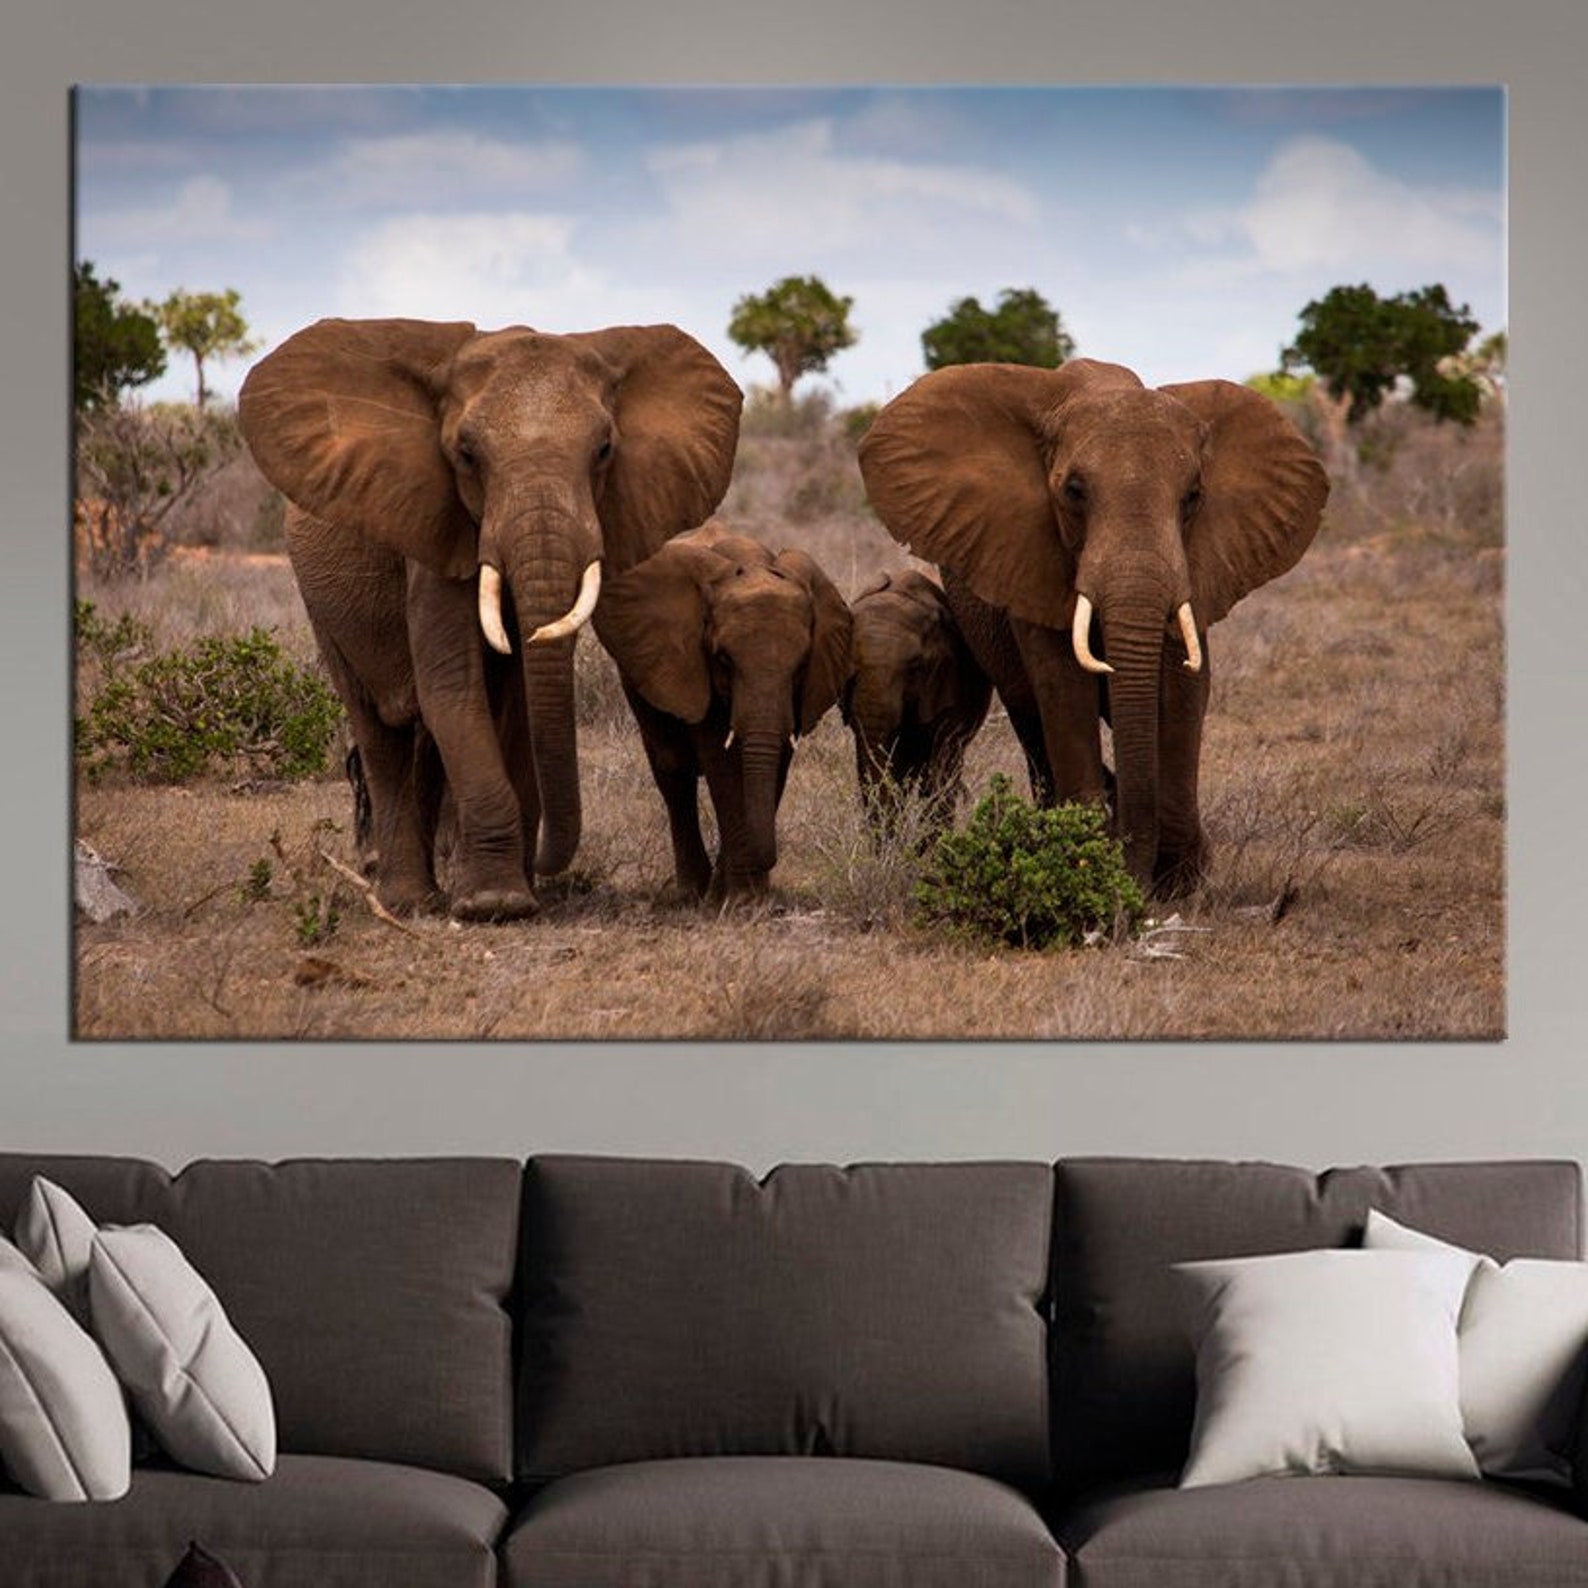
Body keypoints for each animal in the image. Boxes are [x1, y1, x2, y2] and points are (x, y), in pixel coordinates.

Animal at [238, 318, 741, 920]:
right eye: (466, 454)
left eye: (604, 450)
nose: (546, 860)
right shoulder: (434, 526)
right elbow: (452, 685)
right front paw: (495, 905)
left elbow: (519, 695)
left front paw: (515, 894)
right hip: (321, 602)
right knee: (378, 726)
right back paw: (408, 901)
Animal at [593, 520, 854, 900]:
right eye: (723, 659)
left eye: (802, 664)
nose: (770, 861)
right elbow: (723, 766)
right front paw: (742, 900)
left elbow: (775, 761)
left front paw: (744, 895)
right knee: (672, 770)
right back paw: (691, 892)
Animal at [858, 358, 1328, 894]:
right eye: (1074, 492)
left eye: (1193, 496)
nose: (1139, 879)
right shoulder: (1030, 561)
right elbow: (1064, 686)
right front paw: (1091, 860)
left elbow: (1184, 690)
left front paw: (1180, 879)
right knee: (1032, 722)